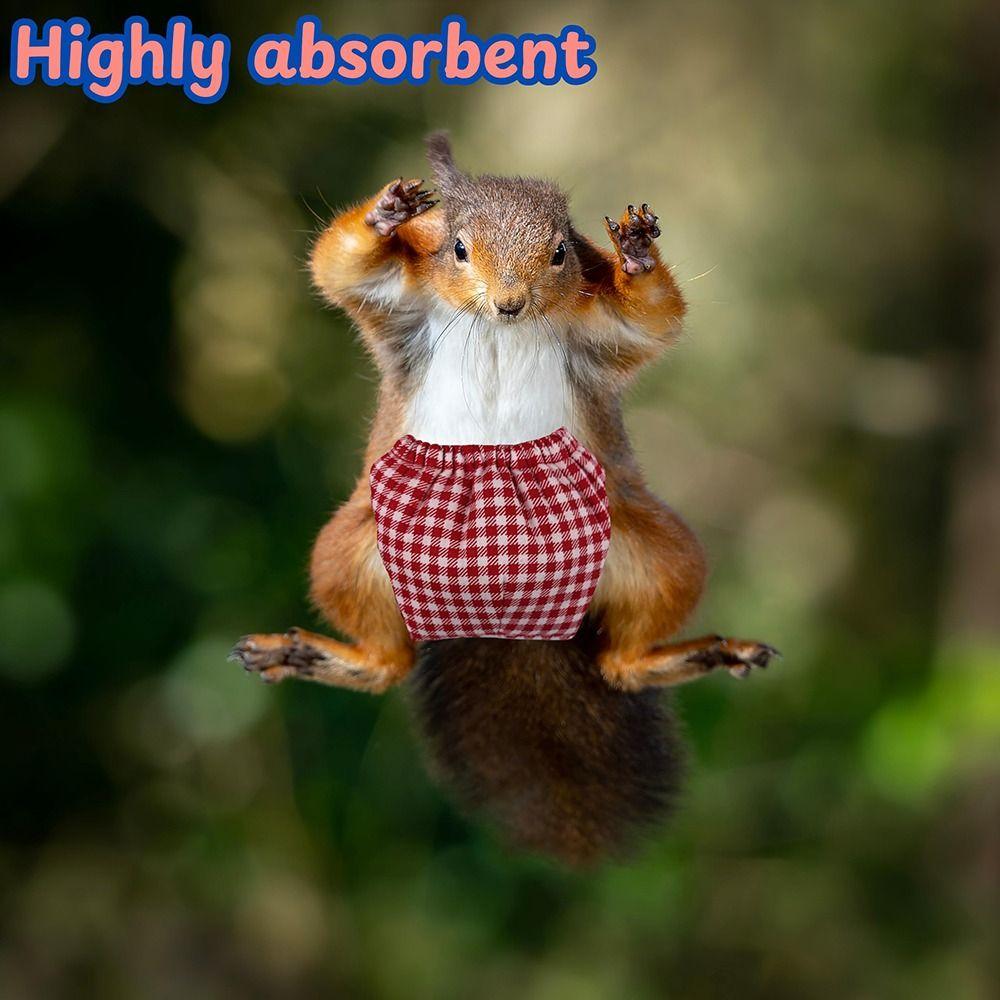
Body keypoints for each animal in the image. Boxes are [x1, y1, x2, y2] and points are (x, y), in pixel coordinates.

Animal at [230, 133, 779, 865]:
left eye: (562, 251)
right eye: (458, 247)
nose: (510, 303)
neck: (497, 328)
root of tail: (502, 617)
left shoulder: (603, 327)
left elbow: (653, 316)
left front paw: (637, 251)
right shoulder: (398, 302)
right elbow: (340, 264)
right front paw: (386, 211)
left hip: (653, 552)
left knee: (621, 663)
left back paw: (699, 653)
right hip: (351, 552)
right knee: (387, 663)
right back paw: (308, 654)